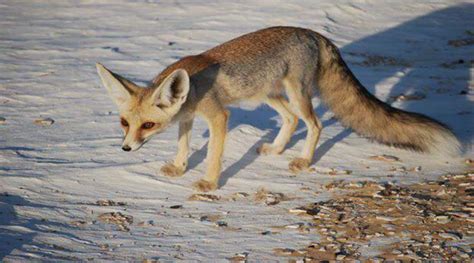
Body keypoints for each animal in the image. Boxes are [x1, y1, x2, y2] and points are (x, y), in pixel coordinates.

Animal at [95, 26, 460, 192]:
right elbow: (183, 146)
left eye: (147, 126)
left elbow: (212, 155)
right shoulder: (188, 117)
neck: (193, 88)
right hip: (269, 94)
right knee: (291, 119)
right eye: (124, 122)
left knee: (314, 124)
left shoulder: (218, 116)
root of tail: (314, 33)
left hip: (296, 93)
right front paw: (180, 167)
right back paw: (277, 148)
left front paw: (210, 183)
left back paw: (304, 160)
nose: (125, 148)